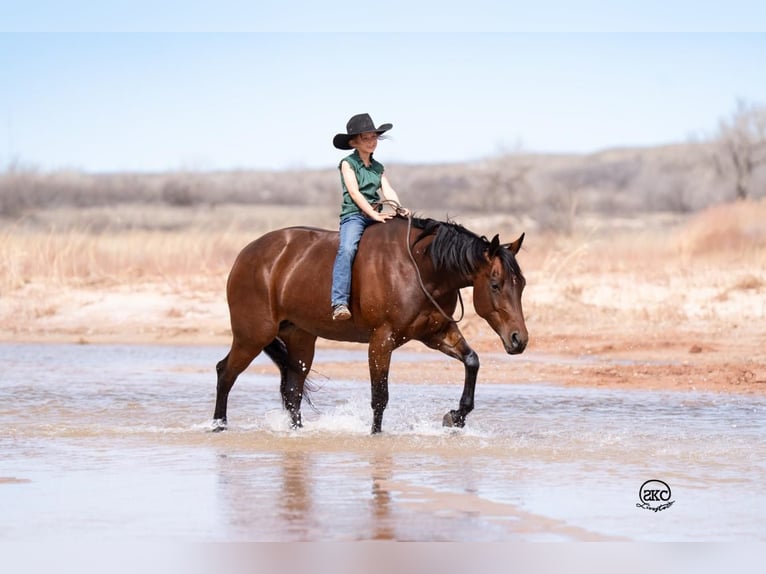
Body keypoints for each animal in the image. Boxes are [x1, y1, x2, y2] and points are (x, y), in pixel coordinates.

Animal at [212, 217, 528, 436]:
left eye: (521, 284)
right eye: (496, 284)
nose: (519, 339)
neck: (421, 268)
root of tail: (245, 255)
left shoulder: (435, 333)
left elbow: (472, 361)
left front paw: (456, 416)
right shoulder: (382, 339)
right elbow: (380, 396)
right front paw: (376, 435)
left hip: (300, 339)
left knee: (292, 391)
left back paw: (297, 432)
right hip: (252, 336)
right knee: (225, 372)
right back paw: (218, 424)